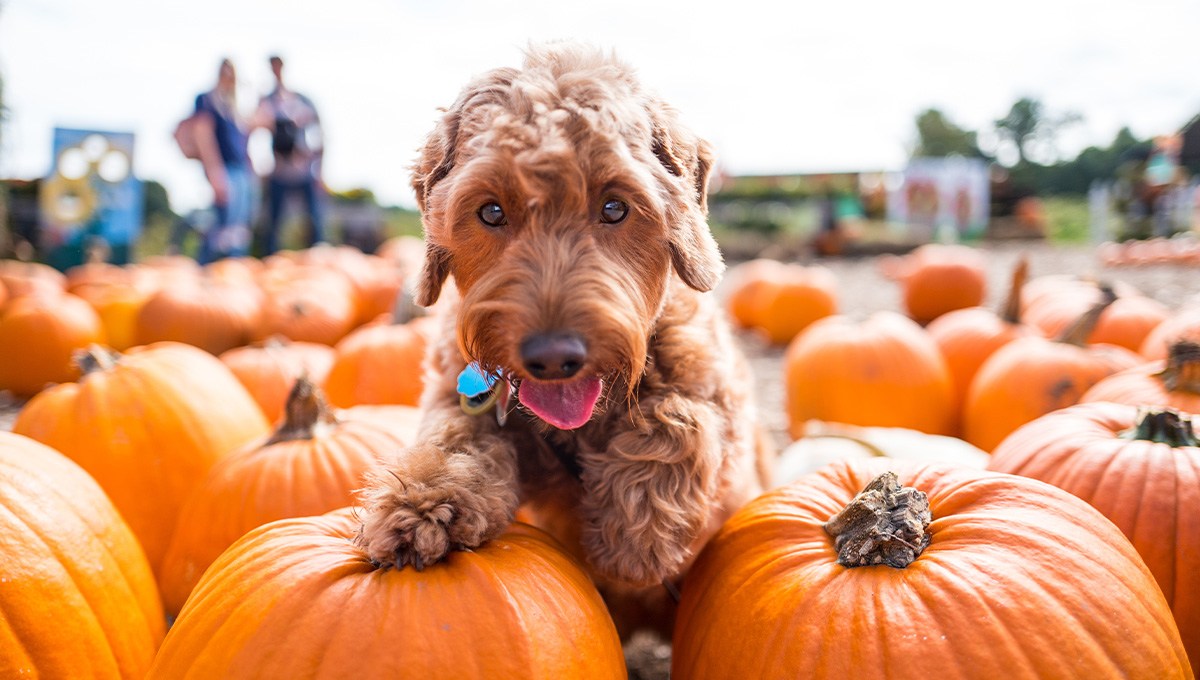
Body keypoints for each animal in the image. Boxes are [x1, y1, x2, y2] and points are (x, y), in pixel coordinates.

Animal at [355, 42, 768, 638]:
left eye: (615, 207)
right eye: (491, 211)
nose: (552, 358)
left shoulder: (722, 412)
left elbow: (681, 416)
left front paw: (638, 535)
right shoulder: (458, 392)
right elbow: (453, 435)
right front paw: (420, 507)